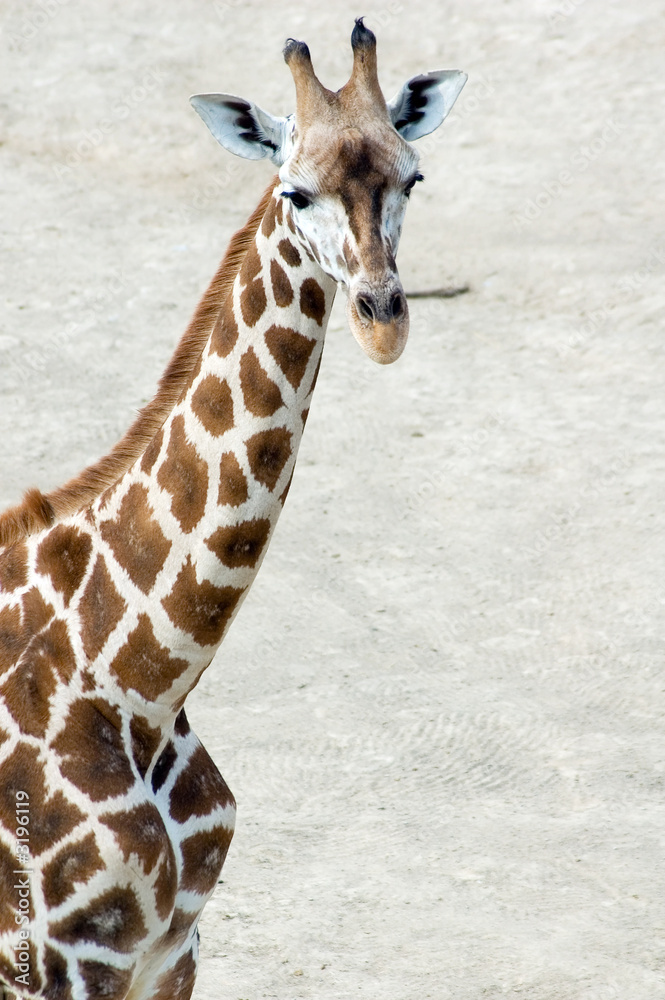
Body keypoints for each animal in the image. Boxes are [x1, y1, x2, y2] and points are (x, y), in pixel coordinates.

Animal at [0, 20, 465, 1000]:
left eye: (411, 176)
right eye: (295, 189)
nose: (382, 320)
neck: (138, 682)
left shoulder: (172, 952)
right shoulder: (58, 961)